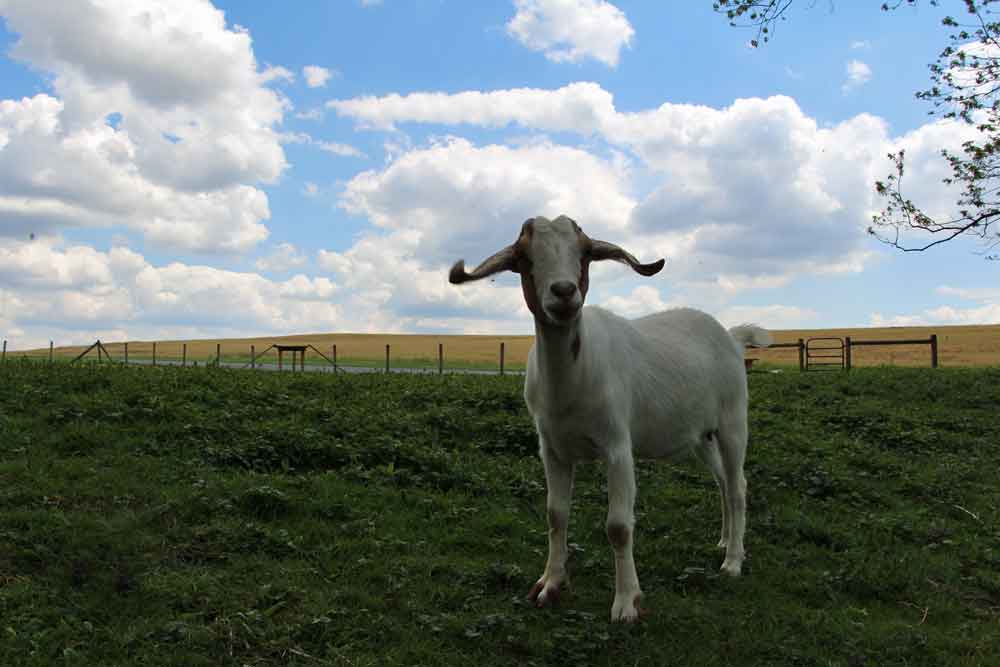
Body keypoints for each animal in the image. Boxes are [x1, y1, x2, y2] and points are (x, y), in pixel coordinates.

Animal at [454, 217, 772, 624]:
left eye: (586, 253)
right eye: (524, 258)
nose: (564, 292)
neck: (571, 382)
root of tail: (732, 337)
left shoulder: (617, 445)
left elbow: (618, 527)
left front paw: (626, 604)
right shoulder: (552, 448)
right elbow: (556, 515)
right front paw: (549, 585)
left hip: (733, 421)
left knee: (738, 486)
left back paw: (733, 562)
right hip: (702, 435)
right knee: (721, 481)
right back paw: (724, 541)